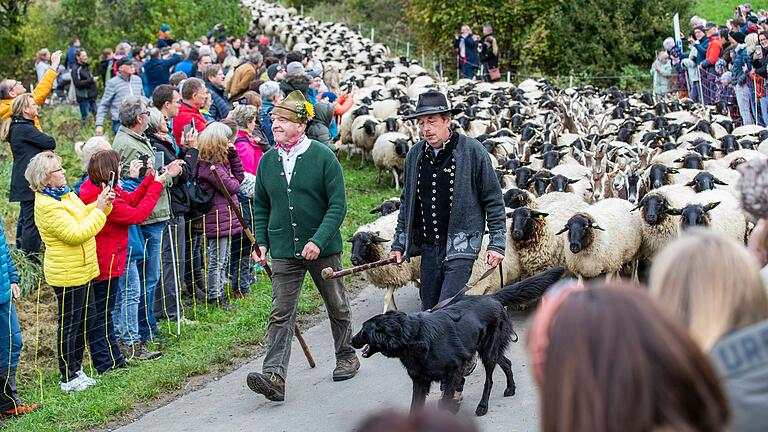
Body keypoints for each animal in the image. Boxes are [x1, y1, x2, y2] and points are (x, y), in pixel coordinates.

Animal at [352, 266, 564, 416]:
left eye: (363, 330)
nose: (352, 340)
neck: (413, 337)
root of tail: (492, 296)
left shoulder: (455, 370)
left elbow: (446, 400)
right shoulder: (420, 382)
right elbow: (415, 408)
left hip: (488, 353)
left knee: (489, 381)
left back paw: (483, 406)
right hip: (490, 350)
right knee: (506, 362)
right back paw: (510, 388)